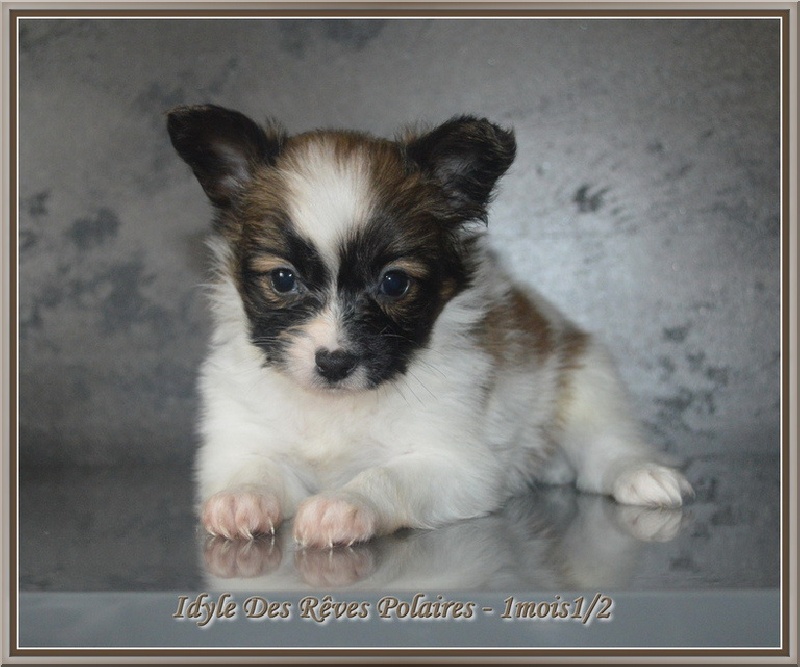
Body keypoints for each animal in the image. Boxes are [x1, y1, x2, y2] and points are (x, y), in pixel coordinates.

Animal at [167, 105, 693, 549]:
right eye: (282, 279)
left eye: (394, 283)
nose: (334, 363)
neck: (336, 407)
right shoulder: (239, 440)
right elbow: (253, 468)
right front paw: (242, 498)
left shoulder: (456, 465)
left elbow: (387, 477)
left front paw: (345, 503)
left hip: (588, 381)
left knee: (607, 445)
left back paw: (643, 474)